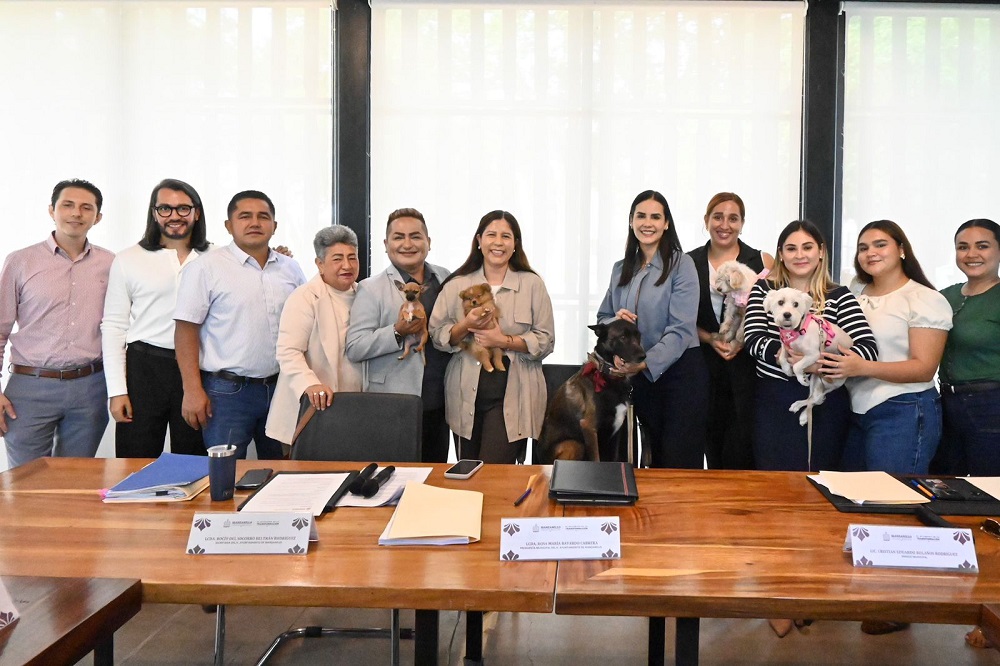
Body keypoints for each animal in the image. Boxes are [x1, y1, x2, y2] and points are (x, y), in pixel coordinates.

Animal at [535, 319, 647, 464]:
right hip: (574, 445)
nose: (643, 356)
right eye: (623, 337)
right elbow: (596, 459)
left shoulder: (617, 430)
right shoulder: (589, 427)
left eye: (638, 336)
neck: (608, 377)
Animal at [762, 287, 853, 426]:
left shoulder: (814, 354)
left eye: (796, 304)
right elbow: (782, 358)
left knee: (815, 399)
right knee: (812, 399)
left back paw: (804, 414)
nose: (787, 314)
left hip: (829, 381)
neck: (795, 330)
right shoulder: (785, 346)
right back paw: (802, 412)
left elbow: (797, 366)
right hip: (815, 381)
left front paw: (800, 378)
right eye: (780, 302)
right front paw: (787, 370)